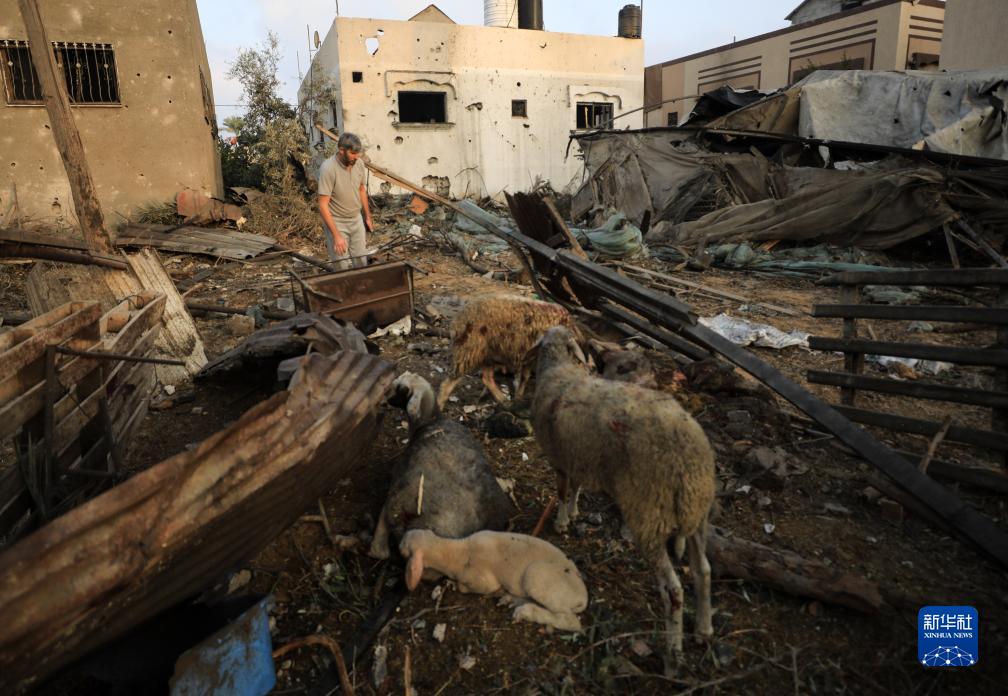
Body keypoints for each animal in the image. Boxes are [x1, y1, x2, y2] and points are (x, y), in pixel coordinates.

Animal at [399, 528, 588, 632]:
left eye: (403, 551)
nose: (399, 543)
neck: (459, 552)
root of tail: (583, 597)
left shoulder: (483, 581)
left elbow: (464, 587)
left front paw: (455, 584)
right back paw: (511, 599)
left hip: (537, 577)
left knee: (571, 622)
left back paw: (525, 611)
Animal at [436, 294, 578, 408]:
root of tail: (456, 322)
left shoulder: (530, 357)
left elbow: (525, 377)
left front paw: (519, 397)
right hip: (468, 350)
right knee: (450, 381)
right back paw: (440, 406)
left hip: (487, 355)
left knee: (487, 378)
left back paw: (503, 400)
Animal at [531, 326, 716, 671]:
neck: (558, 371)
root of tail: (687, 457)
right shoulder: (580, 455)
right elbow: (576, 488)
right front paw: (574, 514)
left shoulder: (561, 459)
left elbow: (561, 491)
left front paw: (561, 522)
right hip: (698, 513)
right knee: (703, 571)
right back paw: (703, 630)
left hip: (650, 516)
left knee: (673, 590)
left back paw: (673, 655)